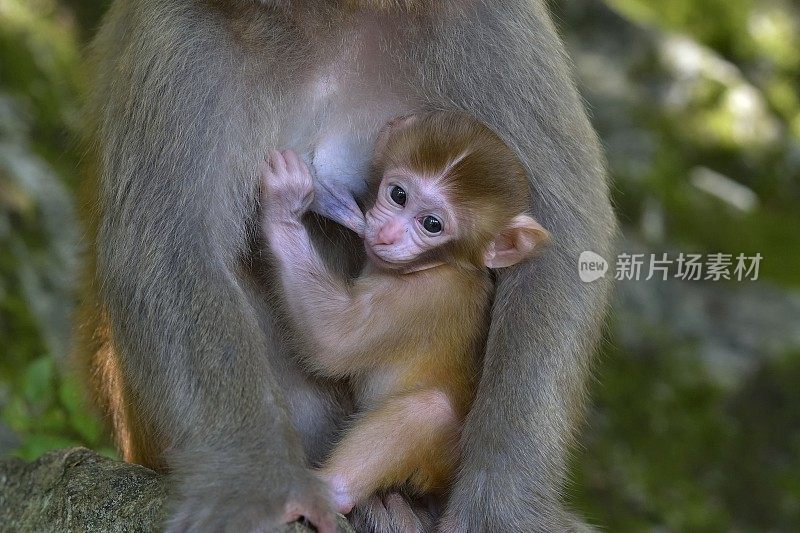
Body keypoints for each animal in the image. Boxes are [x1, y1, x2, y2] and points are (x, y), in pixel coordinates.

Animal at [260, 111, 548, 516]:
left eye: (432, 224)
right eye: (399, 195)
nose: (389, 234)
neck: (436, 265)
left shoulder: (425, 295)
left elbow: (334, 340)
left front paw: (284, 207)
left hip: (441, 461)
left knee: (427, 411)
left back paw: (329, 489)